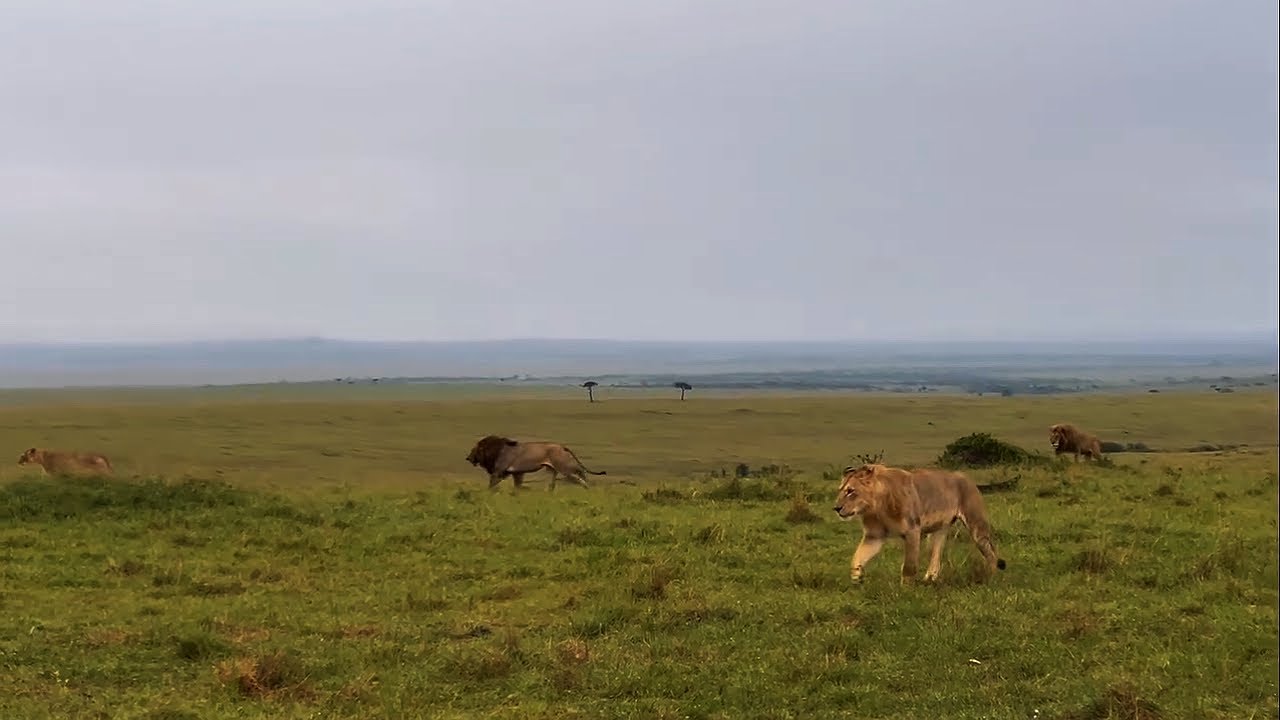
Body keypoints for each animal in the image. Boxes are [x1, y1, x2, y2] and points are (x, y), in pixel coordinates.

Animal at [465, 435, 607, 490]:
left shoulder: (498, 471)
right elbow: (517, 487)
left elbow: (491, 485)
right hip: (552, 470)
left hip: (565, 467)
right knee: (552, 484)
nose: (468, 458)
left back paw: (587, 488)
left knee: (581, 473)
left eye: (473, 450)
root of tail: (562, 446)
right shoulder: (517, 472)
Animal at [832, 463, 1006, 585]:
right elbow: (857, 557)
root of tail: (967, 478)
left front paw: (906, 591)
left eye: (850, 491)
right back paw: (929, 579)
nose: (836, 508)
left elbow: (909, 566)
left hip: (976, 526)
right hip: (938, 531)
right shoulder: (874, 536)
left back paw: (990, 577)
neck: (876, 507)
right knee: (936, 554)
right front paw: (857, 578)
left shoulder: (912, 531)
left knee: (990, 552)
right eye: (840, 490)